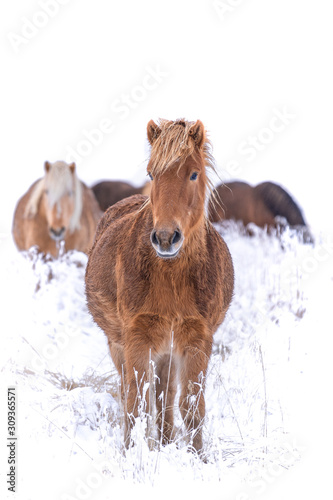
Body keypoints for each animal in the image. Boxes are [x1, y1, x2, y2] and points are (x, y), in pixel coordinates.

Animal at [85, 119, 233, 456]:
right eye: (152, 174)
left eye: (193, 173)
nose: (166, 238)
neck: (171, 278)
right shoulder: (136, 340)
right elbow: (136, 404)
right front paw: (131, 455)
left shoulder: (197, 340)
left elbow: (191, 407)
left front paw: (197, 459)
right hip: (121, 346)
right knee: (135, 393)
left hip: (167, 350)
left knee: (166, 395)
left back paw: (164, 442)